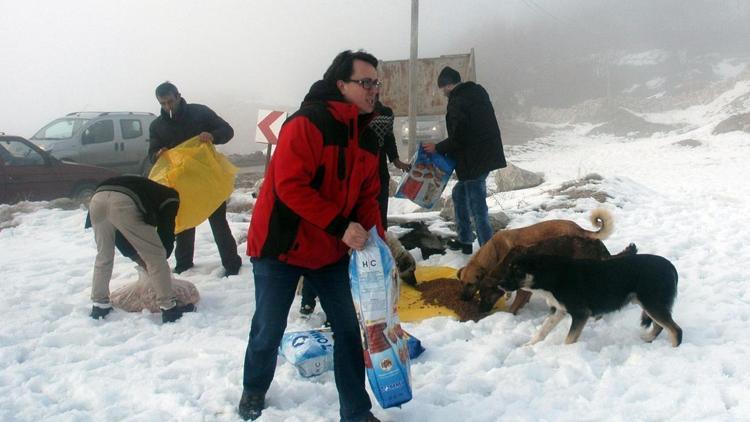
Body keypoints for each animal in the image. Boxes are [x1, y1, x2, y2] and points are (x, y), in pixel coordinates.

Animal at [502, 254, 684, 346]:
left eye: (517, 270)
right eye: (509, 268)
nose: (499, 284)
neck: (551, 274)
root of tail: (671, 267)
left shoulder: (580, 313)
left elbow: (569, 339)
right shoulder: (558, 311)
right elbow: (542, 331)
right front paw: (529, 345)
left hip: (652, 304)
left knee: (676, 330)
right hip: (650, 304)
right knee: (660, 326)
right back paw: (648, 339)